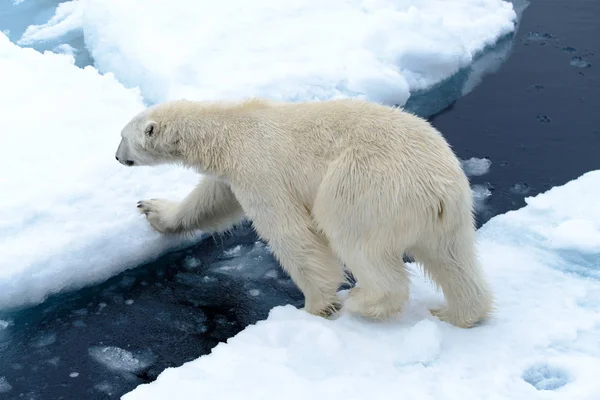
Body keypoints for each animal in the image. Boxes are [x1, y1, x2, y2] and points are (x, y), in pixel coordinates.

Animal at [115, 97, 494, 328]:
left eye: (122, 137)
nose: (117, 157)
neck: (230, 129)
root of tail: (437, 188)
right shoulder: (233, 176)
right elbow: (210, 202)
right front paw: (153, 210)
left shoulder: (260, 169)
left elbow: (291, 234)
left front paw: (316, 306)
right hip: (449, 214)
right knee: (452, 259)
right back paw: (456, 313)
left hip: (367, 187)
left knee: (353, 238)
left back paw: (362, 301)